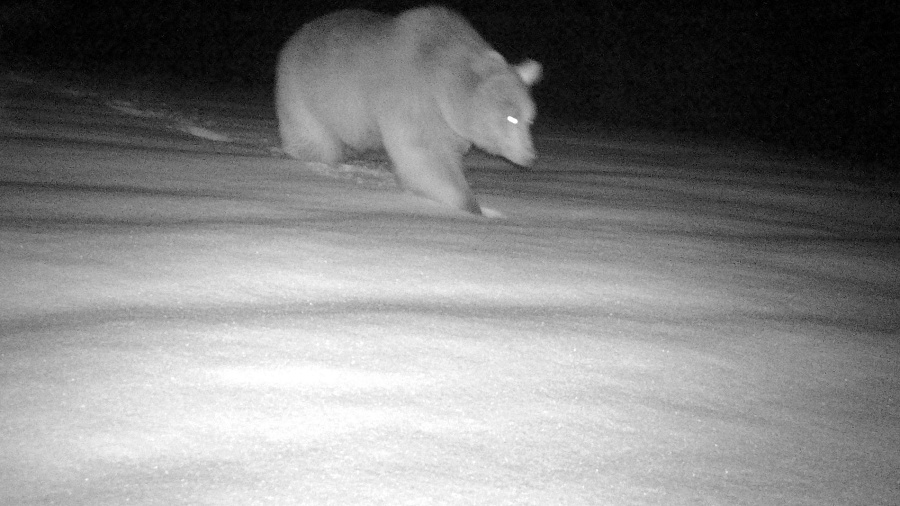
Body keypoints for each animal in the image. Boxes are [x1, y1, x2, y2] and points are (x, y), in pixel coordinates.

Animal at [274, 5, 540, 215]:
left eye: (529, 120)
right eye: (511, 117)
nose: (530, 157)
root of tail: (296, 36)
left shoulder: (447, 124)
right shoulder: (415, 97)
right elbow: (424, 155)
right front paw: (473, 207)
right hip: (305, 93)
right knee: (316, 142)